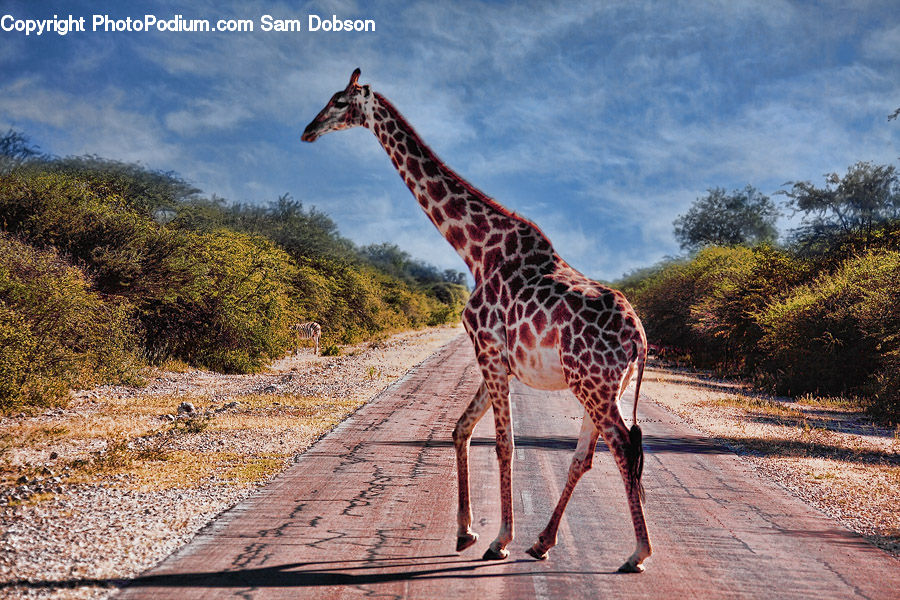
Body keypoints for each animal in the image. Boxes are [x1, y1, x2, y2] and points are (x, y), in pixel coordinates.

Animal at [301, 69, 651, 573]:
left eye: (339, 101)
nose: (307, 130)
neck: (476, 249)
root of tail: (638, 338)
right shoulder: (497, 359)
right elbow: (460, 428)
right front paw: (465, 531)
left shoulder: (487, 348)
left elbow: (504, 443)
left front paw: (498, 539)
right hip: (602, 386)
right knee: (587, 456)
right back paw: (543, 542)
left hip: (594, 384)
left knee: (622, 446)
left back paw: (637, 552)